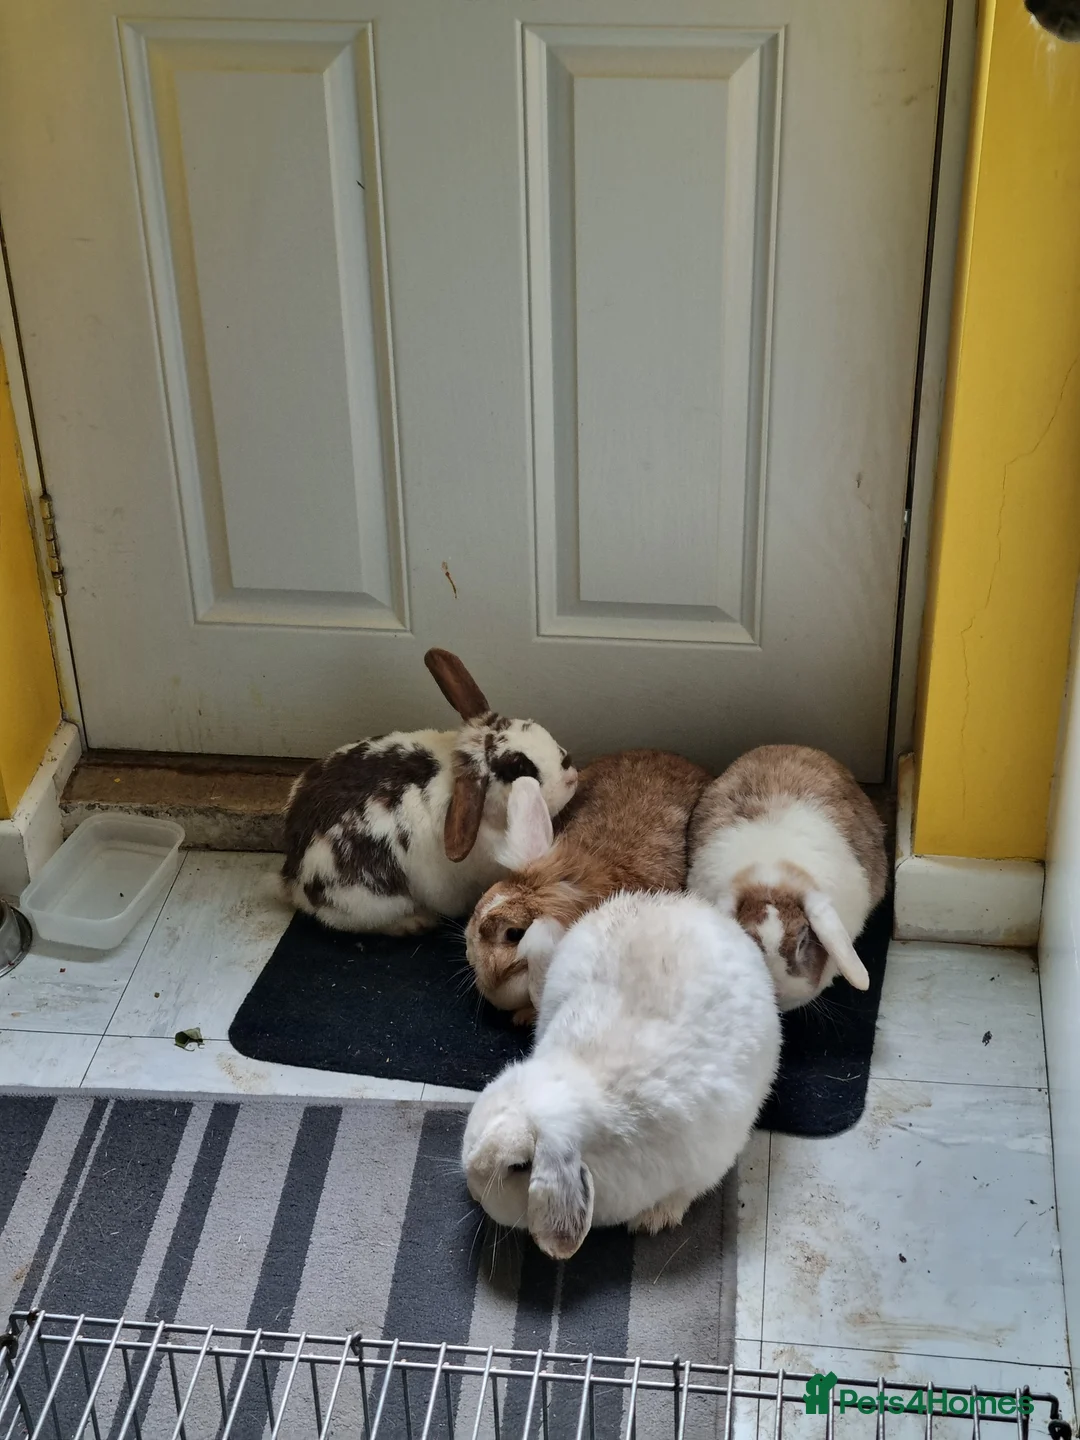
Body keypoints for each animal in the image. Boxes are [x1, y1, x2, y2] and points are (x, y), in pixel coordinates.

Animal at [279, 649, 578, 935]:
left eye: (528, 725)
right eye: (519, 768)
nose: (571, 775)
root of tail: (293, 876)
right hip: (371, 903)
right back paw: (416, 923)